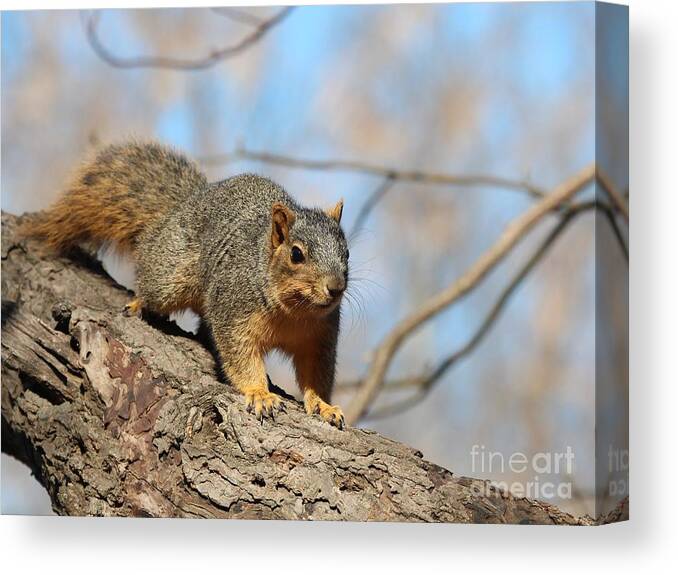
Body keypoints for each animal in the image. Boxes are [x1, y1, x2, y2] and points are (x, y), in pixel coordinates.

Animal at [22, 140, 350, 428]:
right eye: (296, 254)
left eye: (346, 252)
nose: (335, 288)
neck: (295, 312)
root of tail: (183, 205)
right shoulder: (235, 314)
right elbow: (241, 357)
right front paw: (260, 394)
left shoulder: (320, 337)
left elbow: (316, 374)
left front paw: (323, 405)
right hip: (172, 277)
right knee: (153, 281)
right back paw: (139, 301)